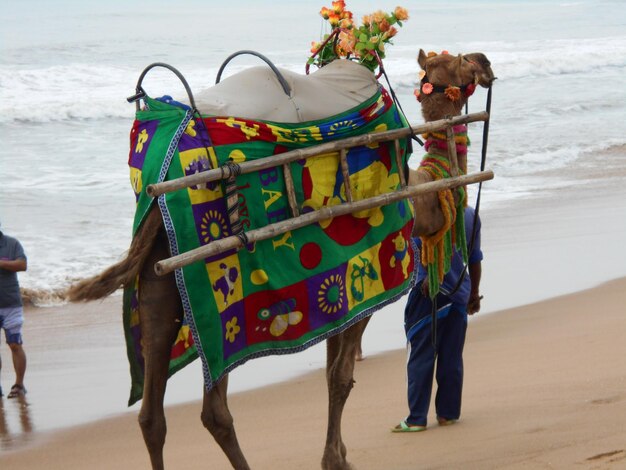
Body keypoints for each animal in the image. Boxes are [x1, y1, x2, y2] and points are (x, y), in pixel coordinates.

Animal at [67, 51, 492, 470]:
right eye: (459, 62)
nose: (486, 64)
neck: (421, 194)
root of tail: (157, 202)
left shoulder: (341, 295)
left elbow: (332, 374)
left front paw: (338, 454)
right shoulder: (368, 282)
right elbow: (340, 377)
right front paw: (335, 460)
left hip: (160, 284)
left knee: (151, 415)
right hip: (220, 301)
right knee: (214, 410)